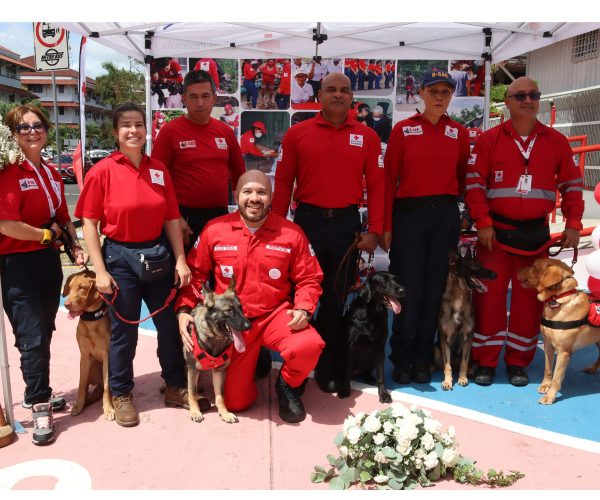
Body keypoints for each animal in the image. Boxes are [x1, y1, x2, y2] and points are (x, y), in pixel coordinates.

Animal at [63, 270, 115, 418]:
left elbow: (107, 386)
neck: (91, 322)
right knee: (90, 387)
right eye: (70, 287)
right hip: (92, 366)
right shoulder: (85, 356)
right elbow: (81, 384)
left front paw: (108, 408)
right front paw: (78, 405)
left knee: (104, 386)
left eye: (82, 287)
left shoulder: (107, 356)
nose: (66, 304)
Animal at [185, 278, 251, 422]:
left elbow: (220, 396)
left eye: (241, 308)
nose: (249, 325)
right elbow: (192, 392)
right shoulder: (192, 369)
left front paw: (224, 413)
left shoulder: (219, 371)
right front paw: (195, 411)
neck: (214, 337)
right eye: (229, 310)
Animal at [336, 272, 406, 404]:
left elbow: (381, 375)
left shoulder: (379, 348)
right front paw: (344, 389)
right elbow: (347, 370)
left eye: (396, 280)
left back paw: (369, 378)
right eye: (384, 281)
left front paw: (384, 394)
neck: (372, 313)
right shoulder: (351, 347)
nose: (402, 290)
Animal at [436, 249, 496, 390]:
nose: (495, 274)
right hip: (436, 349)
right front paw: (447, 381)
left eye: (482, 264)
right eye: (474, 266)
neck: (459, 298)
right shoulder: (444, 338)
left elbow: (464, 362)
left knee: (467, 365)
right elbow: (447, 366)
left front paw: (463, 378)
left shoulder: (468, 337)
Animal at [516, 260, 600, 404]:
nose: (517, 269)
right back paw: (592, 369)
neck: (557, 300)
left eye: (534, 266)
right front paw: (545, 386)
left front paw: (550, 396)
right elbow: (548, 370)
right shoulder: (548, 345)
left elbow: (556, 377)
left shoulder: (563, 353)